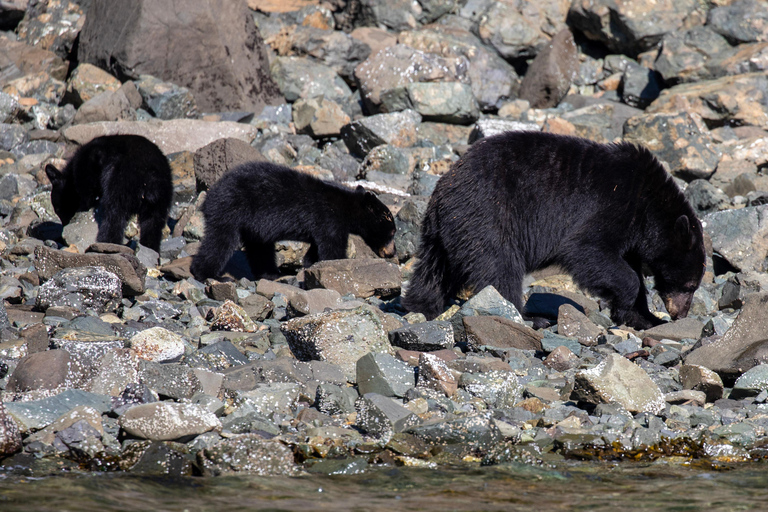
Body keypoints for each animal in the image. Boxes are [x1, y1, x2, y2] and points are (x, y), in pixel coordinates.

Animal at [45, 134, 173, 252]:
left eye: (58, 209)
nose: (65, 225)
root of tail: (150, 177)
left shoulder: (87, 167)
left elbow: (88, 191)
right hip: (161, 198)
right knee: (153, 225)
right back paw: (150, 248)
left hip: (120, 184)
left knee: (114, 216)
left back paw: (106, 243)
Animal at [190, 161, 397, 281]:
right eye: (392, 231)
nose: (393, 252)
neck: (346, 208)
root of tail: (208, 196)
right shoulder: (329, 220)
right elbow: (331, 249)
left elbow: (315, 251)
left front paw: (309, 266)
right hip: (230, 212)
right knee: (220, 242)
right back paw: (208, 275)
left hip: (251, 226)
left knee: (260, 248)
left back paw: (272, 273)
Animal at [402, 131, 706, 331]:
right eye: (690, 285)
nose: (681, 314)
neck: (648, 204)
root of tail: (442, 190)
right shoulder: (612, 205)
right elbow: (586, 249)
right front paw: (626, 305)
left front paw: (645, 317)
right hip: (489, 216)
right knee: (500, 268)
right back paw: (529, 317)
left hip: (443, 233)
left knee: (431, 272)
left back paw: (418, 306)